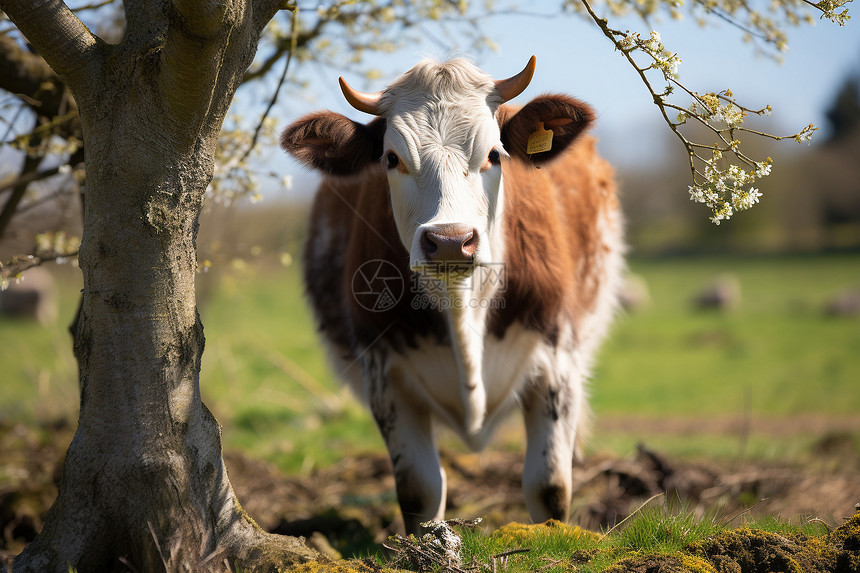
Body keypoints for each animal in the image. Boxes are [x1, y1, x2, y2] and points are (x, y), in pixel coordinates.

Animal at [282, 57, 624, 532]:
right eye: (392, 158)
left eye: (495, 154)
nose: (449, 240)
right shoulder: (385, 374)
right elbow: (420, 490)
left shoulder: (558, 362)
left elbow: (549, 486)